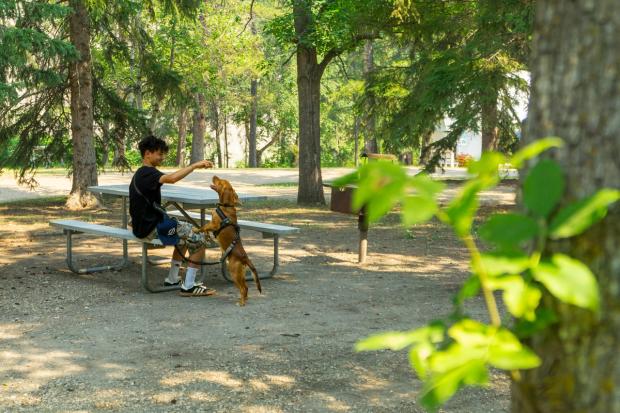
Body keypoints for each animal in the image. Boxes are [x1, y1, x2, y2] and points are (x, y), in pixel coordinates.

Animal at [194, 175, 262, 304]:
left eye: (220, 181)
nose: (214, 175)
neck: (225, 206)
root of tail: (245, 258)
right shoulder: (211, 225)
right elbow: (205, 229)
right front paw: (206, 235)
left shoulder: (213, 224)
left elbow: (203, 227)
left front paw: (196, 230)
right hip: (240, 273)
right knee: (245, 288)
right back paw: (243, 299)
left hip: (234, 272)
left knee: (244, 288)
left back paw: (241, 303)